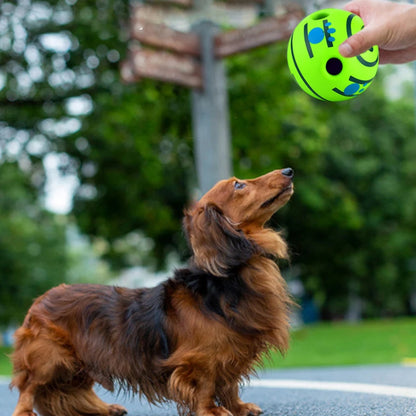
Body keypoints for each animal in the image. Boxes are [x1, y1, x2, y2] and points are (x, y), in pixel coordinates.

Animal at [11, 168, 294, 416]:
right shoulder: (200, 358)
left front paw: (239, 406)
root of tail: (40, 300)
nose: (289, 171)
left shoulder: (231, 353)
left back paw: (105, 408)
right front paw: (212, 410)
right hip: (48, 358)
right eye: (238, 185)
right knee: (30, 387)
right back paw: (25, 411)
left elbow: (229, 384)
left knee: (75, 391)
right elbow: (206, 384)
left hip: (80, 363)